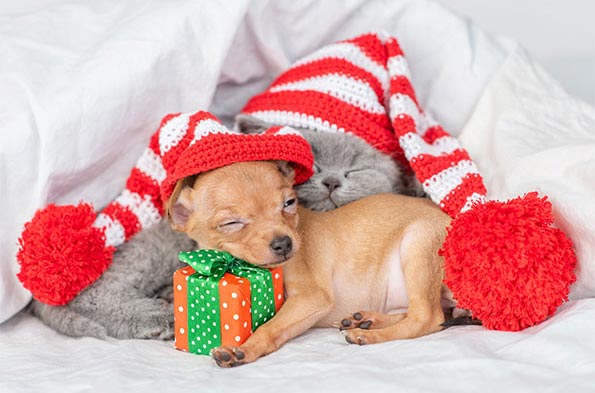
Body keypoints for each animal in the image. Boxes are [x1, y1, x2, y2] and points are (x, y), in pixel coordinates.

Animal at [165, 160, 454, 368]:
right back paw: (368, 321)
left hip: (418, 244)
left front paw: (244, 349)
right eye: (231, 223)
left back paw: (369, 335)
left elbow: (270, 327)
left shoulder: (310, 297)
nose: (284, 243)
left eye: (289, 203)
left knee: (427, 317)